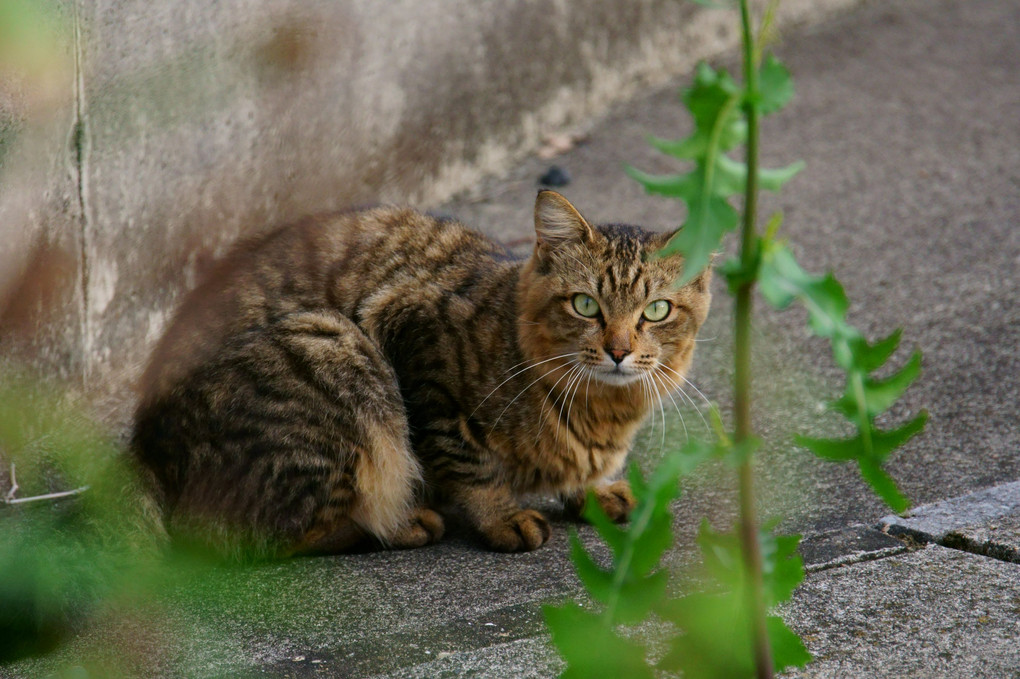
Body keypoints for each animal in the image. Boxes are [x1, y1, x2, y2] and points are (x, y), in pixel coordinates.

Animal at [129, 188, 709, 554]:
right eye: (586, 305)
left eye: (656, 311)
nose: (618, 351)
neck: (601, 411)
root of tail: (142, 450)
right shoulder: (415, 343)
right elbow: (469, 462)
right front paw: (502, 517)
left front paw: (593, 489)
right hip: (333, 345)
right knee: (265, 537)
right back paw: (397, 524)